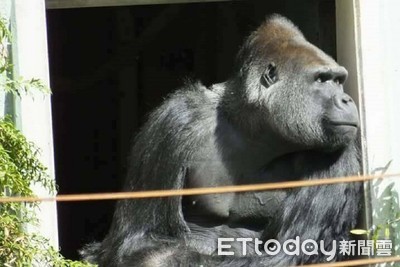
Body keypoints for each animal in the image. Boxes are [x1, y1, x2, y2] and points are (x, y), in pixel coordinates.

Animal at [82, 14, 362, 267]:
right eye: (322, 79)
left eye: (339, 80)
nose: (347, 99)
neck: (252, 127)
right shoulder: (175, 118)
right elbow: (137, 239)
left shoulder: (338, 150)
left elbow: (292, 252)